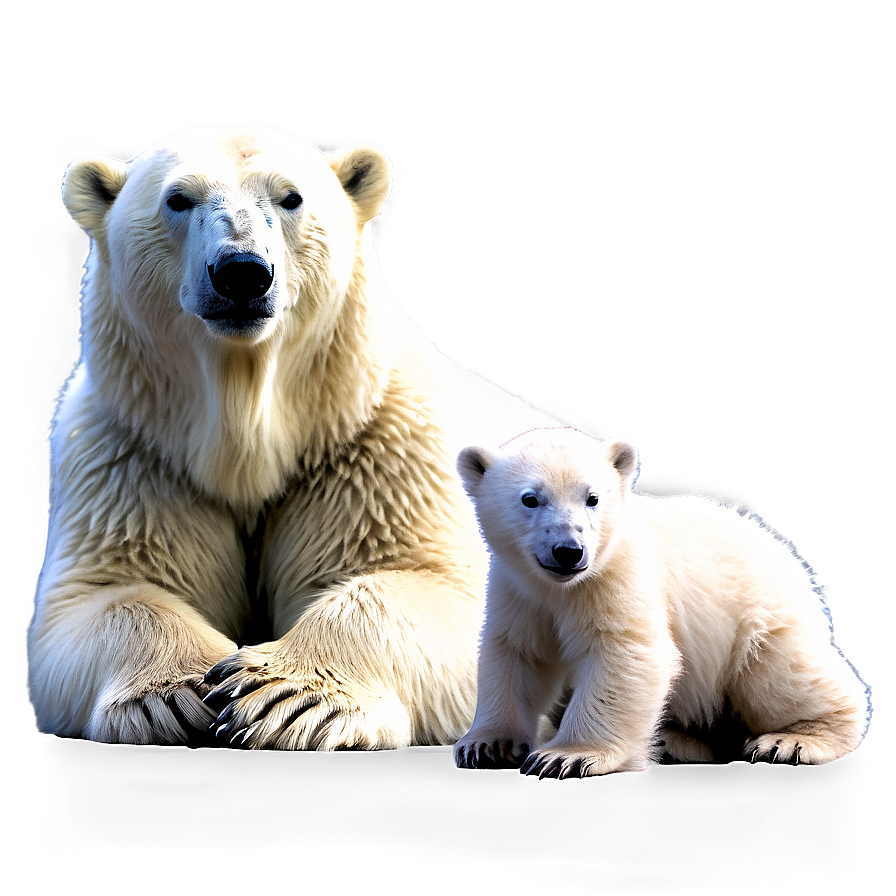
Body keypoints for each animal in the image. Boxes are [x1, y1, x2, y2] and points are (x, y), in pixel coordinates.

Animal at [26, 121, 552, 749]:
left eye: (291, 197)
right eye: (178, 198)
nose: (242, 271)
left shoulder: (374, 452)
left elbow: (426, 588)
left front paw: (284, 694)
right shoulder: (135, 455)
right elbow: (107, 593)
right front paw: (180, 693)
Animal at [454, 427, 870, 778]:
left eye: (592, 498)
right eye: (530, 498)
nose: (569, 550)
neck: (563, 587)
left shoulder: (620, 576)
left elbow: (625, 652)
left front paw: (564, 756)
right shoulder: (517, 589)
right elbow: (516, 654)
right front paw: (485, 745)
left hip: (759, 616)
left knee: (778, 672)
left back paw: (791, 741)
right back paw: (672, 741)